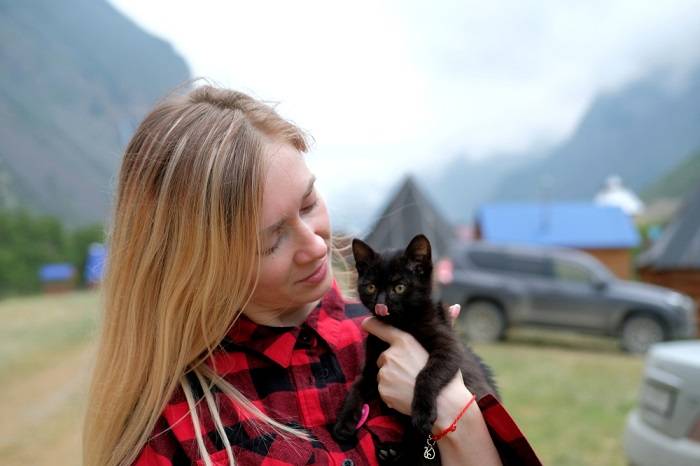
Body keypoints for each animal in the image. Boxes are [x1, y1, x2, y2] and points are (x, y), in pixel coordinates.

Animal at [332, 235, 498, 464]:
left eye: (399, 287)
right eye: (371, 287)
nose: (381, 304)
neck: (401, 324)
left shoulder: (448, 347)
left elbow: (426, 374)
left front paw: (422, 413)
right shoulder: (373, 365)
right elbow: (357, 386)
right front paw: (344, 422)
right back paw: (391, 452)